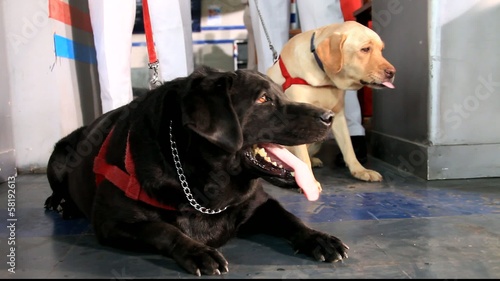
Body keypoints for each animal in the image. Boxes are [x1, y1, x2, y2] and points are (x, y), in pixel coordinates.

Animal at [46, 66, 348, 276]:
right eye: (263, 99)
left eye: (281, 94)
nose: (329, 117)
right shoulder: (112, 222)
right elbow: (162, 229)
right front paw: (198, 251)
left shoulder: (259, 204)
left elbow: (290, 219)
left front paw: (319, 238)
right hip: (58, 157)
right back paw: (61, 204)